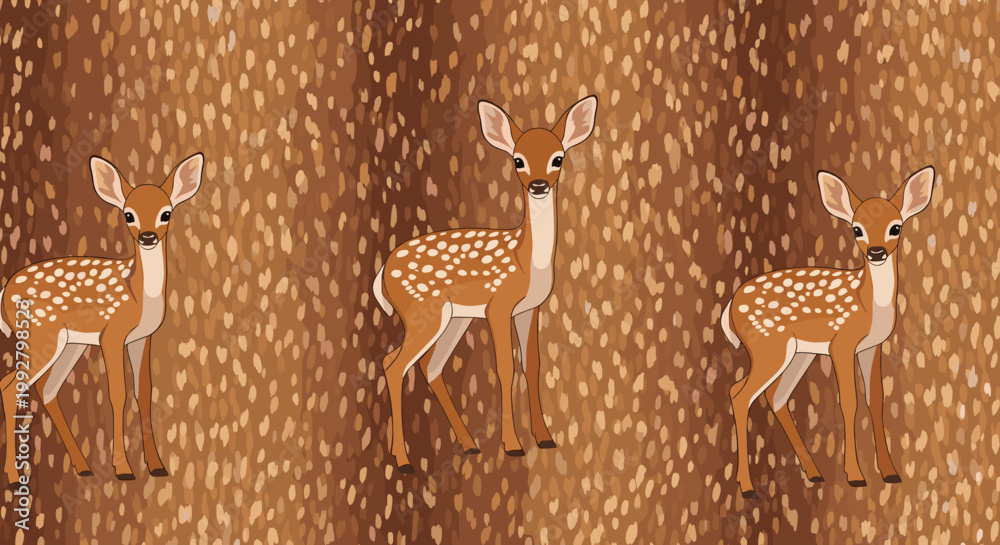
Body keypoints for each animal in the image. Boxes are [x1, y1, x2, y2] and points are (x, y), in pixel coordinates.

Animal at [0, 153, 204, 486]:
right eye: (128, 215)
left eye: (166, 213)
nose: (148, 237)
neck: (138, 297)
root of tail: (4, 292)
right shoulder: (112, 333)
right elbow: (117, 393)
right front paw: (123, 469)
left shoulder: (142, 338)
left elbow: (144, 392)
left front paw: (157, 466)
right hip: (39, 336)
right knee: (10, 385)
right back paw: (15, 477)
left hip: (71, 344)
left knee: (47, 389)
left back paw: (83, 466)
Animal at [372, 96, 597, 473]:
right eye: (518, 160)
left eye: (558, 158)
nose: (539, 185)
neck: (525, 260)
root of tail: (382, 273)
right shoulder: (498, 305)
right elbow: (505, 368)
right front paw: (513, 445)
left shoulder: (530, 309)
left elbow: (532, 365)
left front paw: (545, 438)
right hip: (423, 311)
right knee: (393, 364)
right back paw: (404, 460)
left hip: (455, 318)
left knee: (430, 366)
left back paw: (467, 444)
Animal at [720, 166, 935, 498]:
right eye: (857, 229)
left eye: (896, 227)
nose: (876, 252)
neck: (867, 304)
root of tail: (731, 305)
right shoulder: (841, 343)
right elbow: (849, 402)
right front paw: (855, 476)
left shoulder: (872, 347)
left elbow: (876, 400)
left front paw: (890, 472)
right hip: (769, 346)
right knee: (740, 393)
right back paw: (747, 487)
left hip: (799, 353)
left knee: (775, 396)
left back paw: (814, 472)